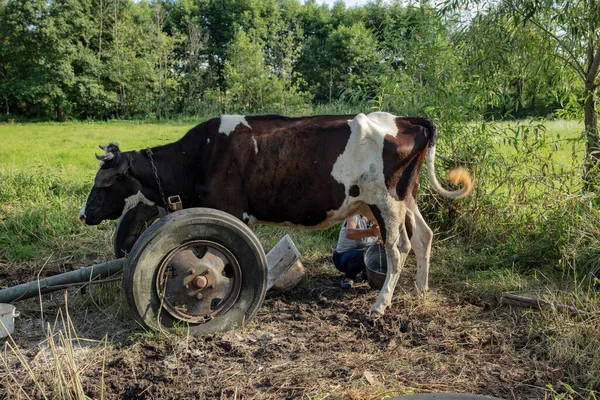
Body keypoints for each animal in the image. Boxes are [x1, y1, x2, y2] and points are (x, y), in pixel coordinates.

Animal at [81, 111, 474, 316]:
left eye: (103, 184)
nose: (84, 216)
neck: (197, 157)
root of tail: (403, 118)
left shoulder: (229, 210)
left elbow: (218, 260)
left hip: (386, 202)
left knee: (398, 248)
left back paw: (381, 304)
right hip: (407, 198)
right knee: (424, 237)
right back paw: (420, 290)